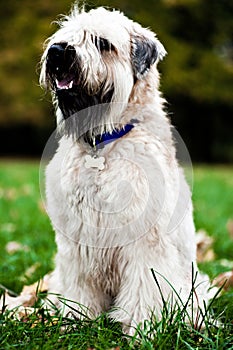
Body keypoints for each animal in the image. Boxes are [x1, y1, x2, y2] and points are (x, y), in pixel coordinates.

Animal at [39, 4, 210, 334]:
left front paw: (142, 326)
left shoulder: (145, 239)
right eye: (65, 36)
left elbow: (146, 283)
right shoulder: (77, 240)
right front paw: (76, 318)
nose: (57, 52)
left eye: (102, 43)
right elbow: (79, 285)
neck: (103, 140)